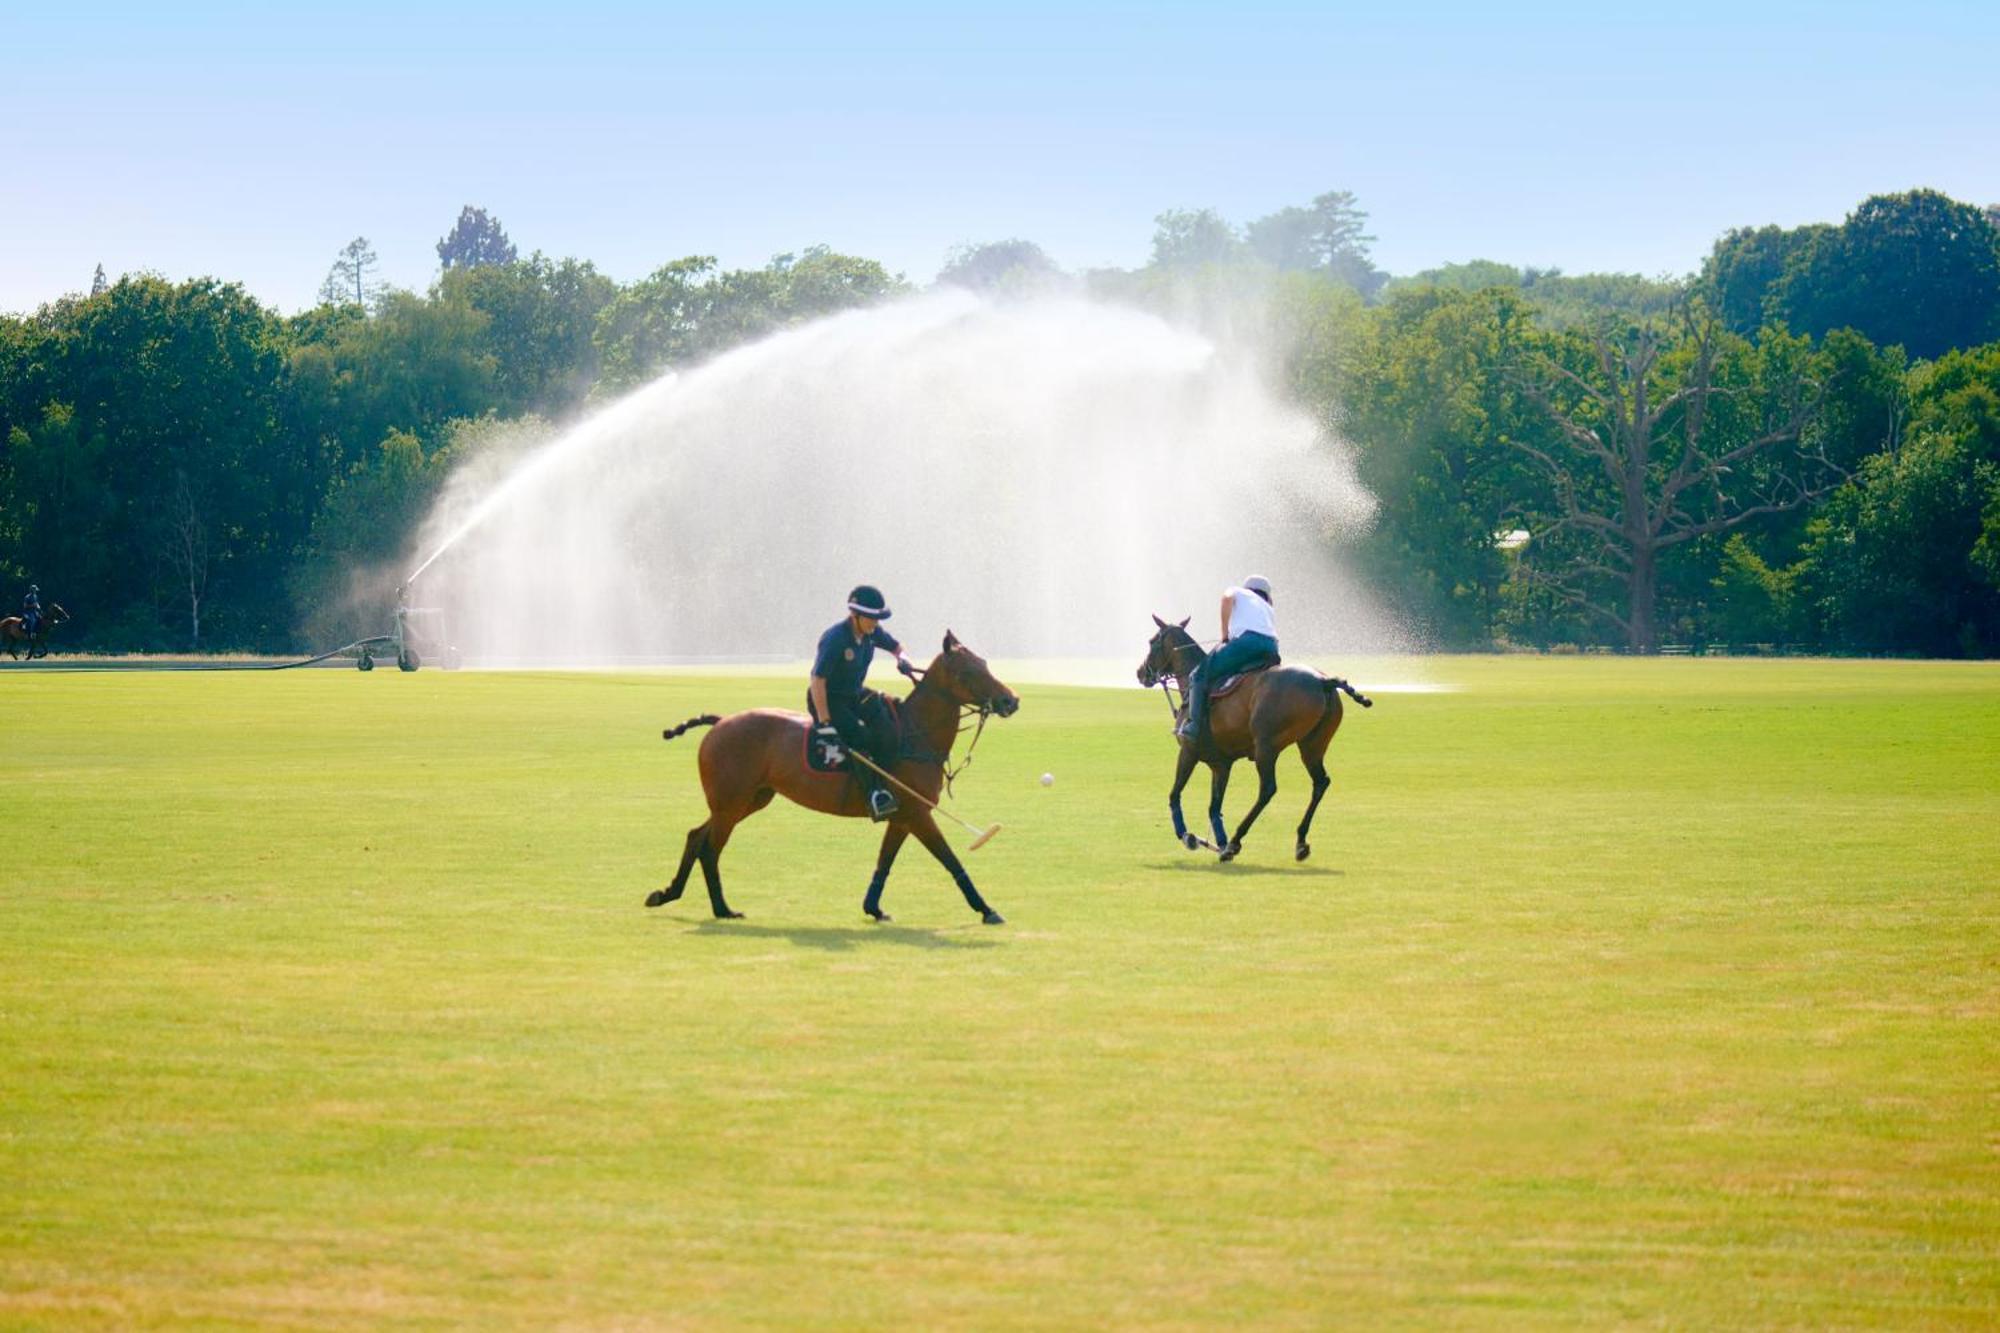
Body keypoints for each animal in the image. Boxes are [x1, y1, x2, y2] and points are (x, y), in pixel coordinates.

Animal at [644, 632, 1016, 924]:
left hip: (748, 799)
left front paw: (873, 908)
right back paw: (722, 908)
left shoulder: (903, 816)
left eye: (985, 663)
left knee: (696, 836)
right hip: (731, 802)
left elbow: (885, 861)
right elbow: (950, 859)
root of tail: (720, 721)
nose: (1011, 700)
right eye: (969, 671)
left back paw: (668, 893)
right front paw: (986, 909)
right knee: (710, 848)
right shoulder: (918, 813)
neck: (915, 734)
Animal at [1136, 616, 1368, 860]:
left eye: (1152, 641)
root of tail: (1324, 681)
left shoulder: (1188, 752)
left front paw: (1188, 836)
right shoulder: (1221, 764)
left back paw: (1236, 841)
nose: (1140, 673)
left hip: (1266, 746)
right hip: (1312, 746)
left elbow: (1175, 794)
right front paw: (1218, 842)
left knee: (1267, 789)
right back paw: (1299, 841)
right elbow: (1214, 807)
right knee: (1320, 782)